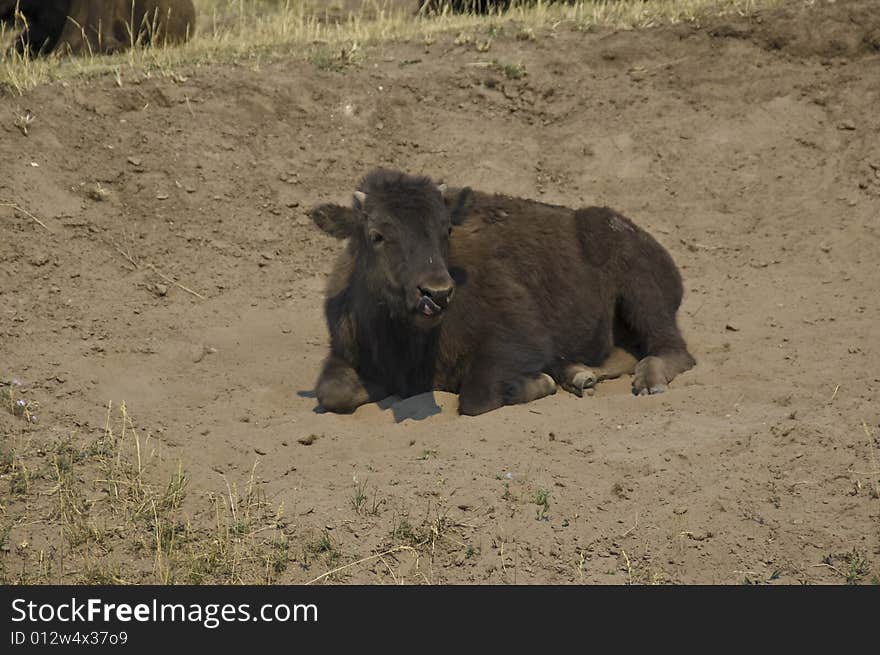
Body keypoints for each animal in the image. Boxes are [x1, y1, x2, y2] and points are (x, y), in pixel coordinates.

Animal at [310, 169, 696, 416]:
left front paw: (541, 382)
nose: (437, 293)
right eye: (376, 234)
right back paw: (578, 374)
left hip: (642, 295)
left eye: (446, 229)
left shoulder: (520, 338)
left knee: (673, 350)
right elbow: (333, 393)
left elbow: (477, 396)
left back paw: (647, 381)